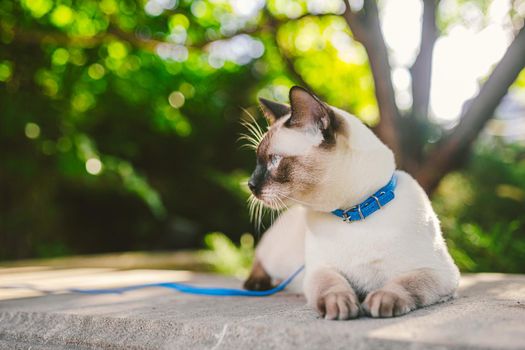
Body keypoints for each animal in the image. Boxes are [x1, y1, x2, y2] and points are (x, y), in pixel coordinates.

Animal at [242, 87, 458, 320]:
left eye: (274, 160)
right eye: (258, 161)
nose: (250, 184)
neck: (353, 213)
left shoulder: (435, 271)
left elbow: (403, 284)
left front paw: (382, 300)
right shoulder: (321, 270)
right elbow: (332, 286)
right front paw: (339, 305)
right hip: (276, 252)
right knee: (259, 260)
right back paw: (256, 284)